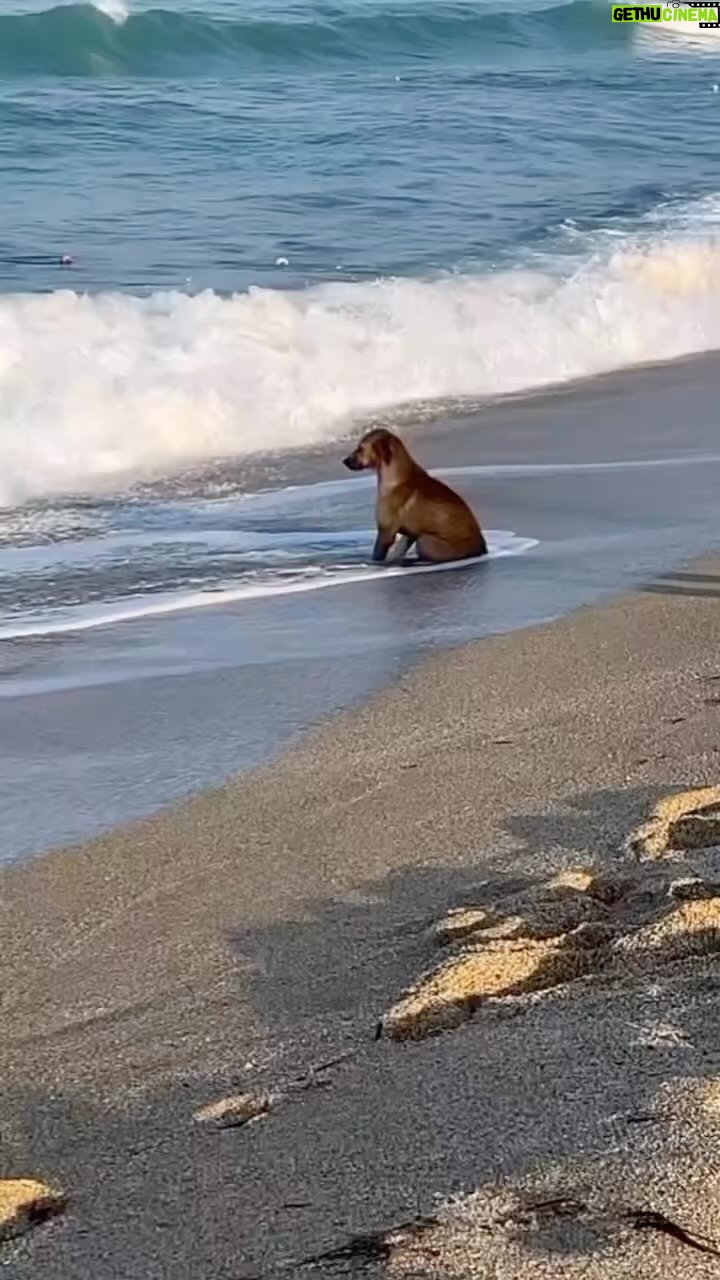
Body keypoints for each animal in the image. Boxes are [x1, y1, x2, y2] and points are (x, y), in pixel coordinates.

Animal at [343, 428, 487, 564]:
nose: (344, 461)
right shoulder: (408, 535)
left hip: (425, 541)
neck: (395, 475)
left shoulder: (386, 531)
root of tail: (482, 549)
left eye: (360, 448)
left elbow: (378, 555)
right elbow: (398, 551)